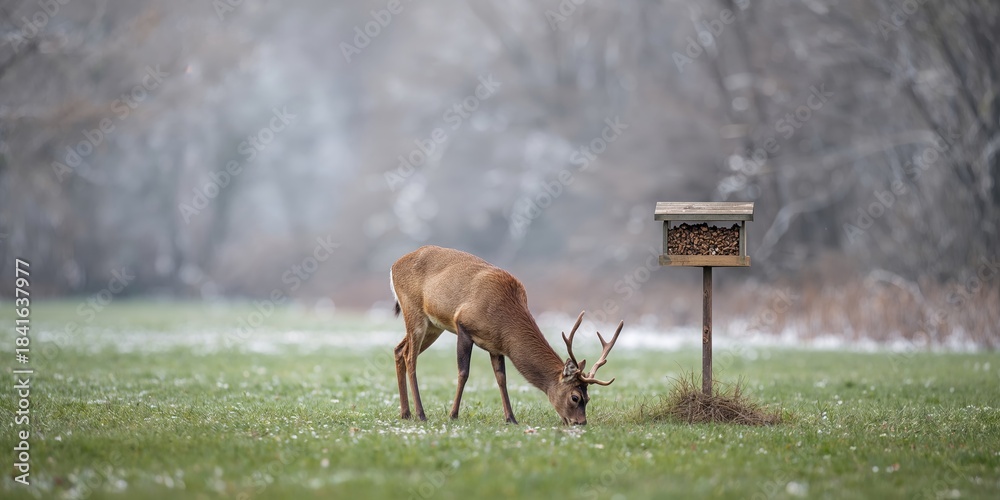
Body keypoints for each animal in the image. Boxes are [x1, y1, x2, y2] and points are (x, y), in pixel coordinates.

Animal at [389, 245, 623, 425]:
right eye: (575, 397)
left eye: (588, 398)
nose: (580, 423)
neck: (504, 321)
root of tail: (393, 266)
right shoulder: (463, 325)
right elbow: (463, 372)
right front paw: (453, 414)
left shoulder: (496, 345)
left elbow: (501, 379)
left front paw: (511, 418)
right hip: (414, 312)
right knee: (411, 358)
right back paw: (420, 413)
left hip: (433, 327)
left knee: (399, 350)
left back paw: (405, 413)